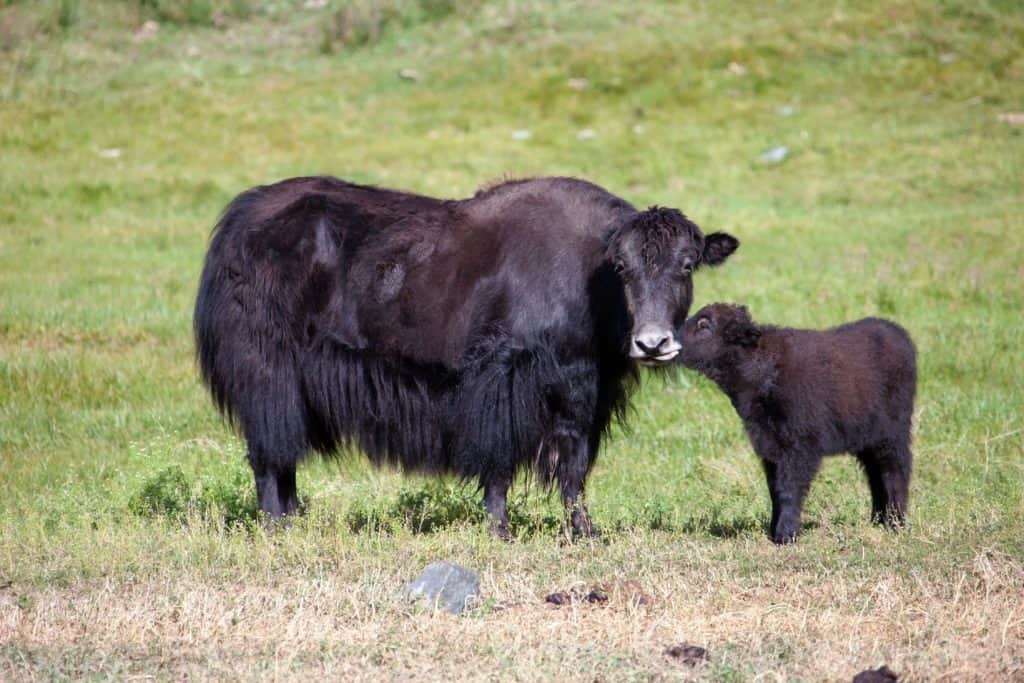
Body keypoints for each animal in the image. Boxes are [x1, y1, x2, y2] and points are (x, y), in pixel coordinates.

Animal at [675, 305, 917, 544]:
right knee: (875, 474)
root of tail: (898, 333)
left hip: (893, 433)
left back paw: (895, 523)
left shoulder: (799, 447)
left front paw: (785, 535)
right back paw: (878, 520)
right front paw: (773, 531)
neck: (763, 370)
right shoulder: (770, 447)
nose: (672, 340)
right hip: (868, 439)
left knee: (895, 471)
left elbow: (789, 489)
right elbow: (774, 489)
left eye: (704, 324)